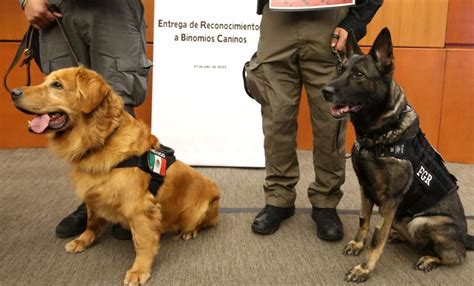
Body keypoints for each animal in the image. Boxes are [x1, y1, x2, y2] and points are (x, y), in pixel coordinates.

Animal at [322, 27, 474, 282]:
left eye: (359, 75)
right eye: (340, 70)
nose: (325, 91)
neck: (379, 135)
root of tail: (466, 238)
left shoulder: (390, 200)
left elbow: (377, 237)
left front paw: (365, 268)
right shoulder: (365, 189)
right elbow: (364, 220)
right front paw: (357, 244)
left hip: (422, 222)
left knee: (457, 256)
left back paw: (431, 259)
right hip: (403, 218)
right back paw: (398, 236)